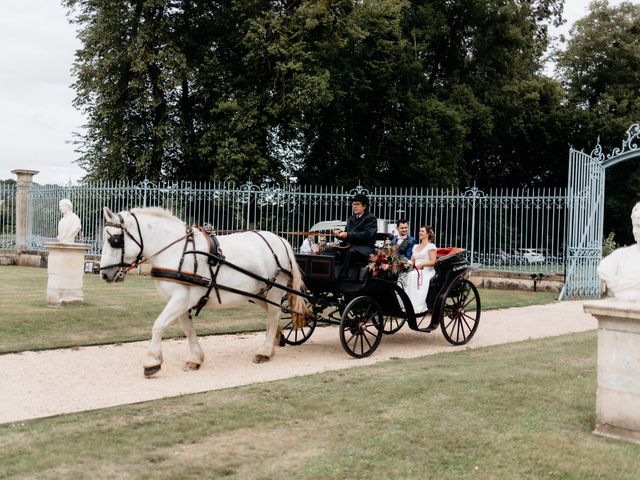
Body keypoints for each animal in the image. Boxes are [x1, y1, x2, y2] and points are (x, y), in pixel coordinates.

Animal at [99, 205, 308, 376]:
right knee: (274, 313)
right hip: (259, 292)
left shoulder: (181, 299)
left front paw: (151, 362)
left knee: (274, 314)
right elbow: (188, 329)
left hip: (273, 290)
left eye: (115, 240)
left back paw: (264, 351)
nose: (104, 274)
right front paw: (195, 359)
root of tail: (281, 239)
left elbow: (158, 325)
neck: (177, 251)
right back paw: (274, 342)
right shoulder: (180, 301)